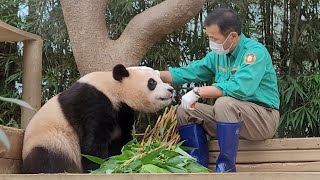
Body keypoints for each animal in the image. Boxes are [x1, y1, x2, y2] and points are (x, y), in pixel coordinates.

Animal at [21, 64, 174, 174]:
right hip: (51, 140)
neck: (113, 87)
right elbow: (93, 139)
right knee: (46, 158)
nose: (171, 90)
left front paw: (119, 157)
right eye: (152, 82)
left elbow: (121, 137)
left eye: (161, 79)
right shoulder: (91, 101)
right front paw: (97, 166)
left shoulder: (123, 111)